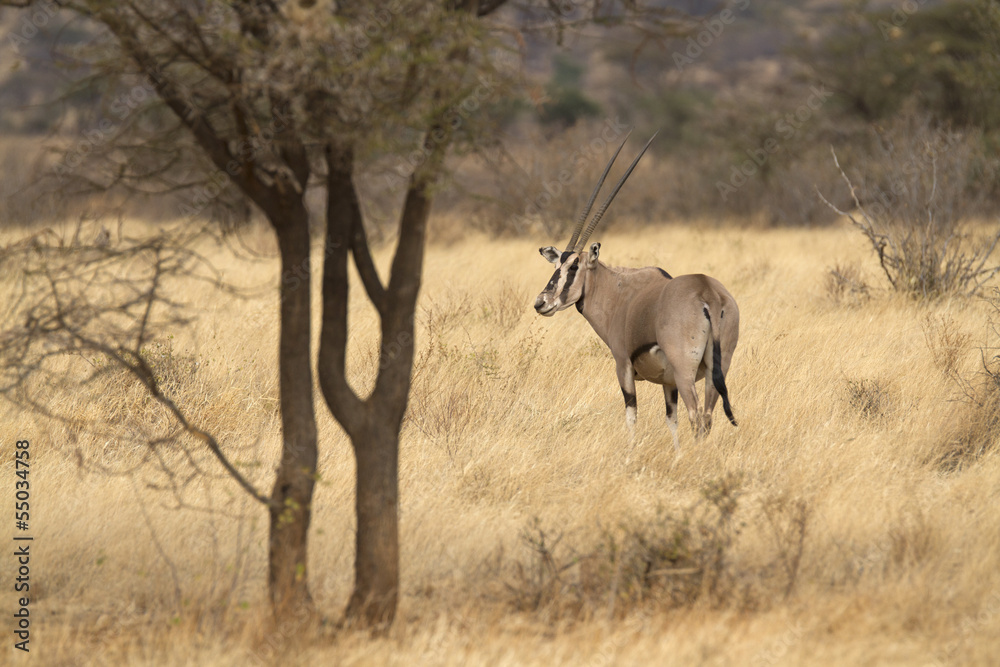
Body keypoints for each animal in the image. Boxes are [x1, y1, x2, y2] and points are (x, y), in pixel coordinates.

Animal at [533, 132, 739, 453]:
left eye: (574, 266)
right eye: (557, 264)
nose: (541, 302)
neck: (617, 292)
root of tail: (707, 292)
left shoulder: (623, 364)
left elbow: (632, 415)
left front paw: (630, 454)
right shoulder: (668, 382)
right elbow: (671, 419)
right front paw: (677, 455)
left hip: (685, 369)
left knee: (696, 415)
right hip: (718, 366)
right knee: (706, 417)